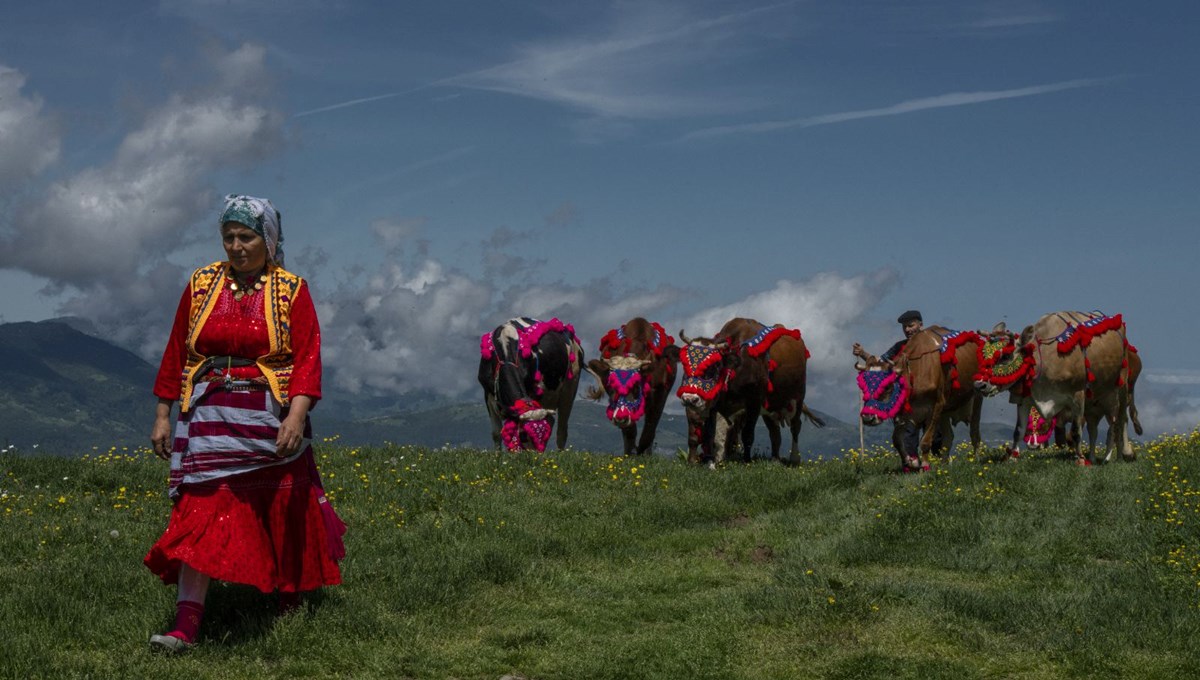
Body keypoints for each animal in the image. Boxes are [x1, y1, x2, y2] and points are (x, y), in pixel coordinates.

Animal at [475, 319, 583, 453]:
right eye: (523, 435)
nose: (534, 455)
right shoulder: (488, 394)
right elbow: (496, 433)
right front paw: (497, 455)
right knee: (551, 421)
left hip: (570, 388)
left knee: (562, 430)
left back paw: (561, 453)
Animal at [585, 319, 681, 458]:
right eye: (611, 385)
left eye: (636, 385)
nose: (620, 419)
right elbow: (630, 431)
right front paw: (630, 454)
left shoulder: (660, 393)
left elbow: (650, 428)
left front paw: (642, 451)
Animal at [676, 319, 825, 467]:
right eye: (684, 365)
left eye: (714, 366)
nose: (689, 399)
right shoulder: (714, 406)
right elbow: (710, 434)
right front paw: (710, 463)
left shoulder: (754, 401)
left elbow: (747, 434)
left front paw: (746, 461)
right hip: (770, 407)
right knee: (774, 431)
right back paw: (775, 459)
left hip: (797, 396)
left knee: (795, 426)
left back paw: (794, 459)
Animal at [854, 326, 984, 472]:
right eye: (863, 385)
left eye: (887, 386)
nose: (867, 418)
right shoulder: (903, 411)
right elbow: (897, 439)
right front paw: (912, 462)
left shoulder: (936, 406)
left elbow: (926, 441)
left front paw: (925, 465)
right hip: (946, 409)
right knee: (948, 437)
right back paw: (944, 464)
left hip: (977, 397)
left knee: (974, 433)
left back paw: (976, 460)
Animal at [969, 311, 1137, 462]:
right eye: (982, 355)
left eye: (1005, 356)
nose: (979, 384)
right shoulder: (1025, 398)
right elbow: (1018, 431)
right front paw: (1011, 458)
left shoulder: (1078, 394)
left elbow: (1076, 431)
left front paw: (1080, 460)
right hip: (1095, 398)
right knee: (1095, 428)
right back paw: (1093, 457)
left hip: (1121, 387)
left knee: (1119, 421)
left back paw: (1119, 456)